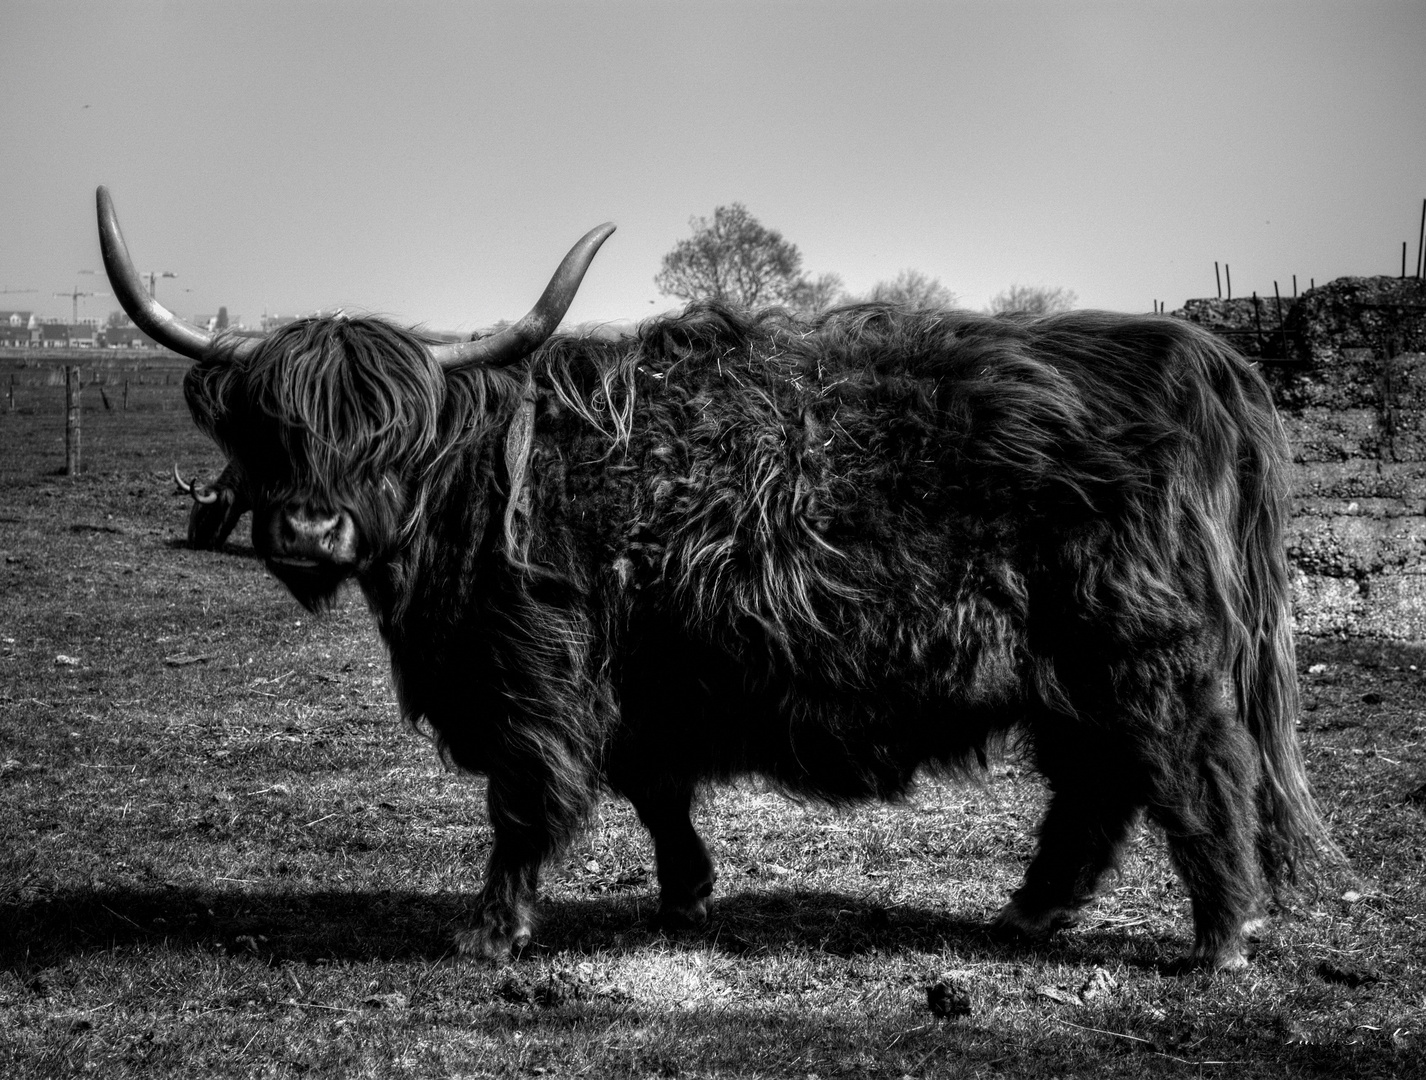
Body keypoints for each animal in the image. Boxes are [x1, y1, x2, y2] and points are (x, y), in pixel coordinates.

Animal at [97, 185, 1334, 970]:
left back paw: (1220, 938)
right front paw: (687, 892)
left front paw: (491, 929)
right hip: (1076, 675)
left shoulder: (535, 671)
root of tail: (1191, 353)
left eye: (386, 434)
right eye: (271, 425)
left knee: (1194, 769)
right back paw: (1028, 915)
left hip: (1141, 652)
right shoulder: (642, 681)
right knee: (1098, 785)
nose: (310, 526)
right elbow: (653, 787)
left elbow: (525, 800)